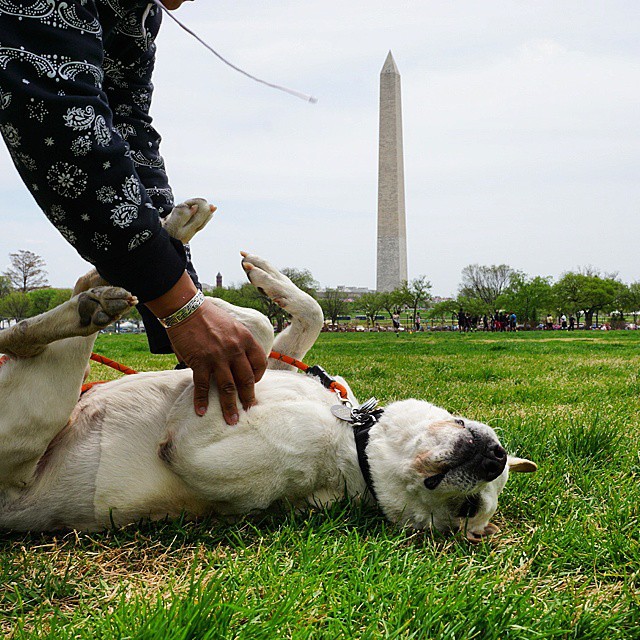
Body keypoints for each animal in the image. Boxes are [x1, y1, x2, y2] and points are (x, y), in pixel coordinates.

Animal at [0, 200, 536, 540]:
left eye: (468, 509)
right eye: (464, 421)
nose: (494, 456)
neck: (354, 435)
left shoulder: (194, 444)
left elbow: (252, 329)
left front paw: (203, 319)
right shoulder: (278, 366)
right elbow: (303, 314)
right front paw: (262, 282)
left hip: (34, 410)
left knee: (34, 337)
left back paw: (93, 304)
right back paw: (162, 237)